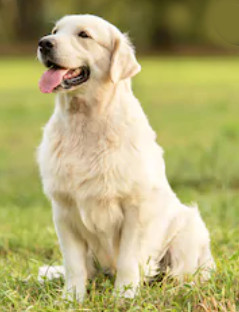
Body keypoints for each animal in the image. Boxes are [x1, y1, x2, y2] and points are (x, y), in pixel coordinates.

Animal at [37, 14, 215, 300]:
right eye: (54, 31)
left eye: (84, 35)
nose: (44, 43)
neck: (86, 123)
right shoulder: (64, 209)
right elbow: (74, 264)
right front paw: (72, 298)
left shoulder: (136, 209)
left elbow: (128, 259)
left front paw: (124, 296)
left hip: (189, 227)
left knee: (184, 273)